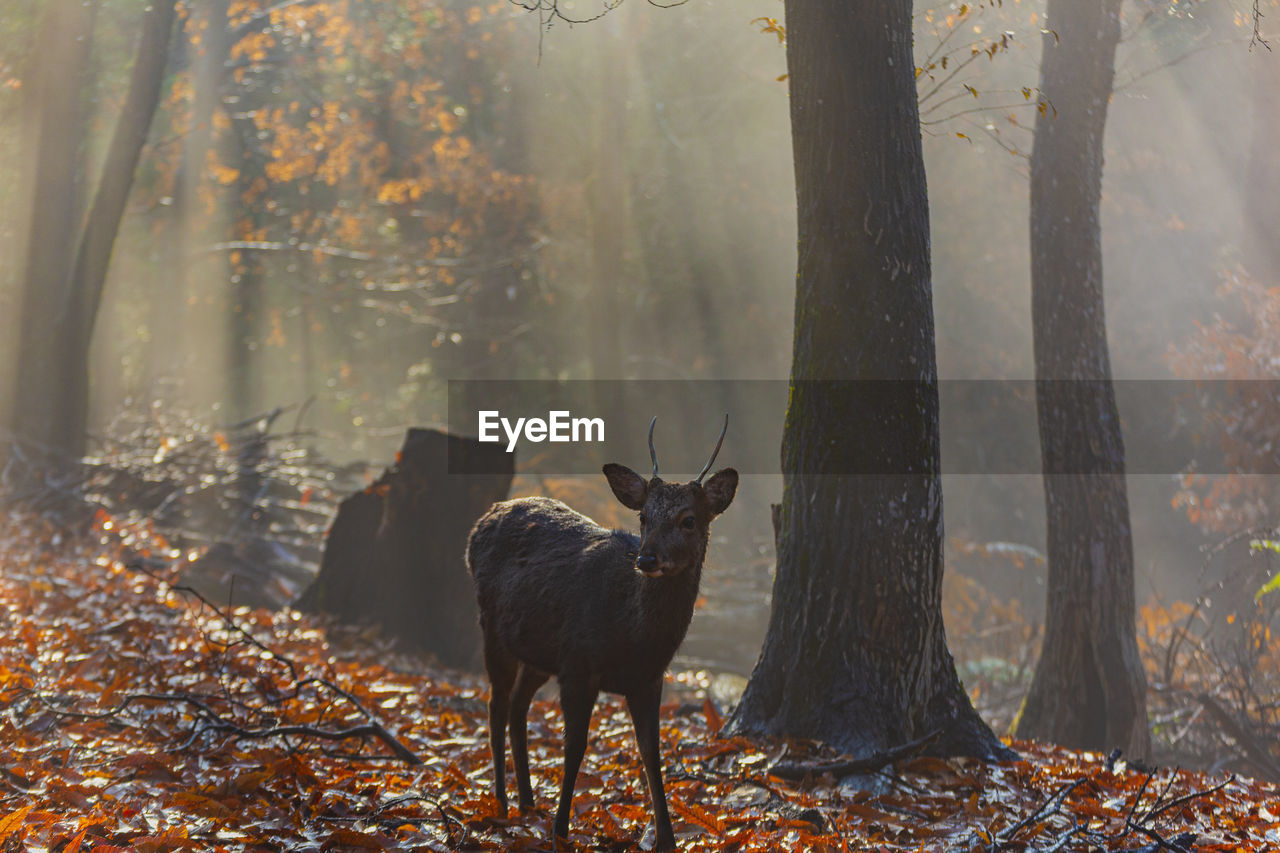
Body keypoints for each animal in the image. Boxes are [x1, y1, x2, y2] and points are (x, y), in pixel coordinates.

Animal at [465, 414, 737, 845]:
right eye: (643, 517)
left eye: (689, 520)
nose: (647, 558)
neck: (634, 636)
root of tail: (481, 522)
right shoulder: (579, 664)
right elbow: (575, 745)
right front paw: (561, 830)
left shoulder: (648, 679)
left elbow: (651, 752)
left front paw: (667, 838)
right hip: (492, 629)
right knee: (496, 705)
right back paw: (503, 804)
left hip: (538, 653)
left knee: (518, 706)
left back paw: (528, 802)